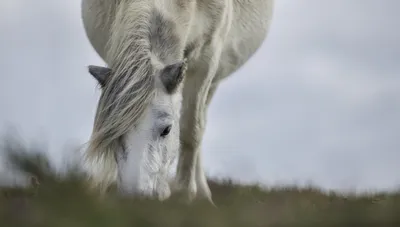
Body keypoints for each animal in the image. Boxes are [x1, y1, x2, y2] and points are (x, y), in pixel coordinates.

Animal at [81, 0, 276, 203]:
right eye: (115, 135)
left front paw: (184, 193)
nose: (136, 198)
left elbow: (191, 130)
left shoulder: (205, 59)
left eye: (166, 130)